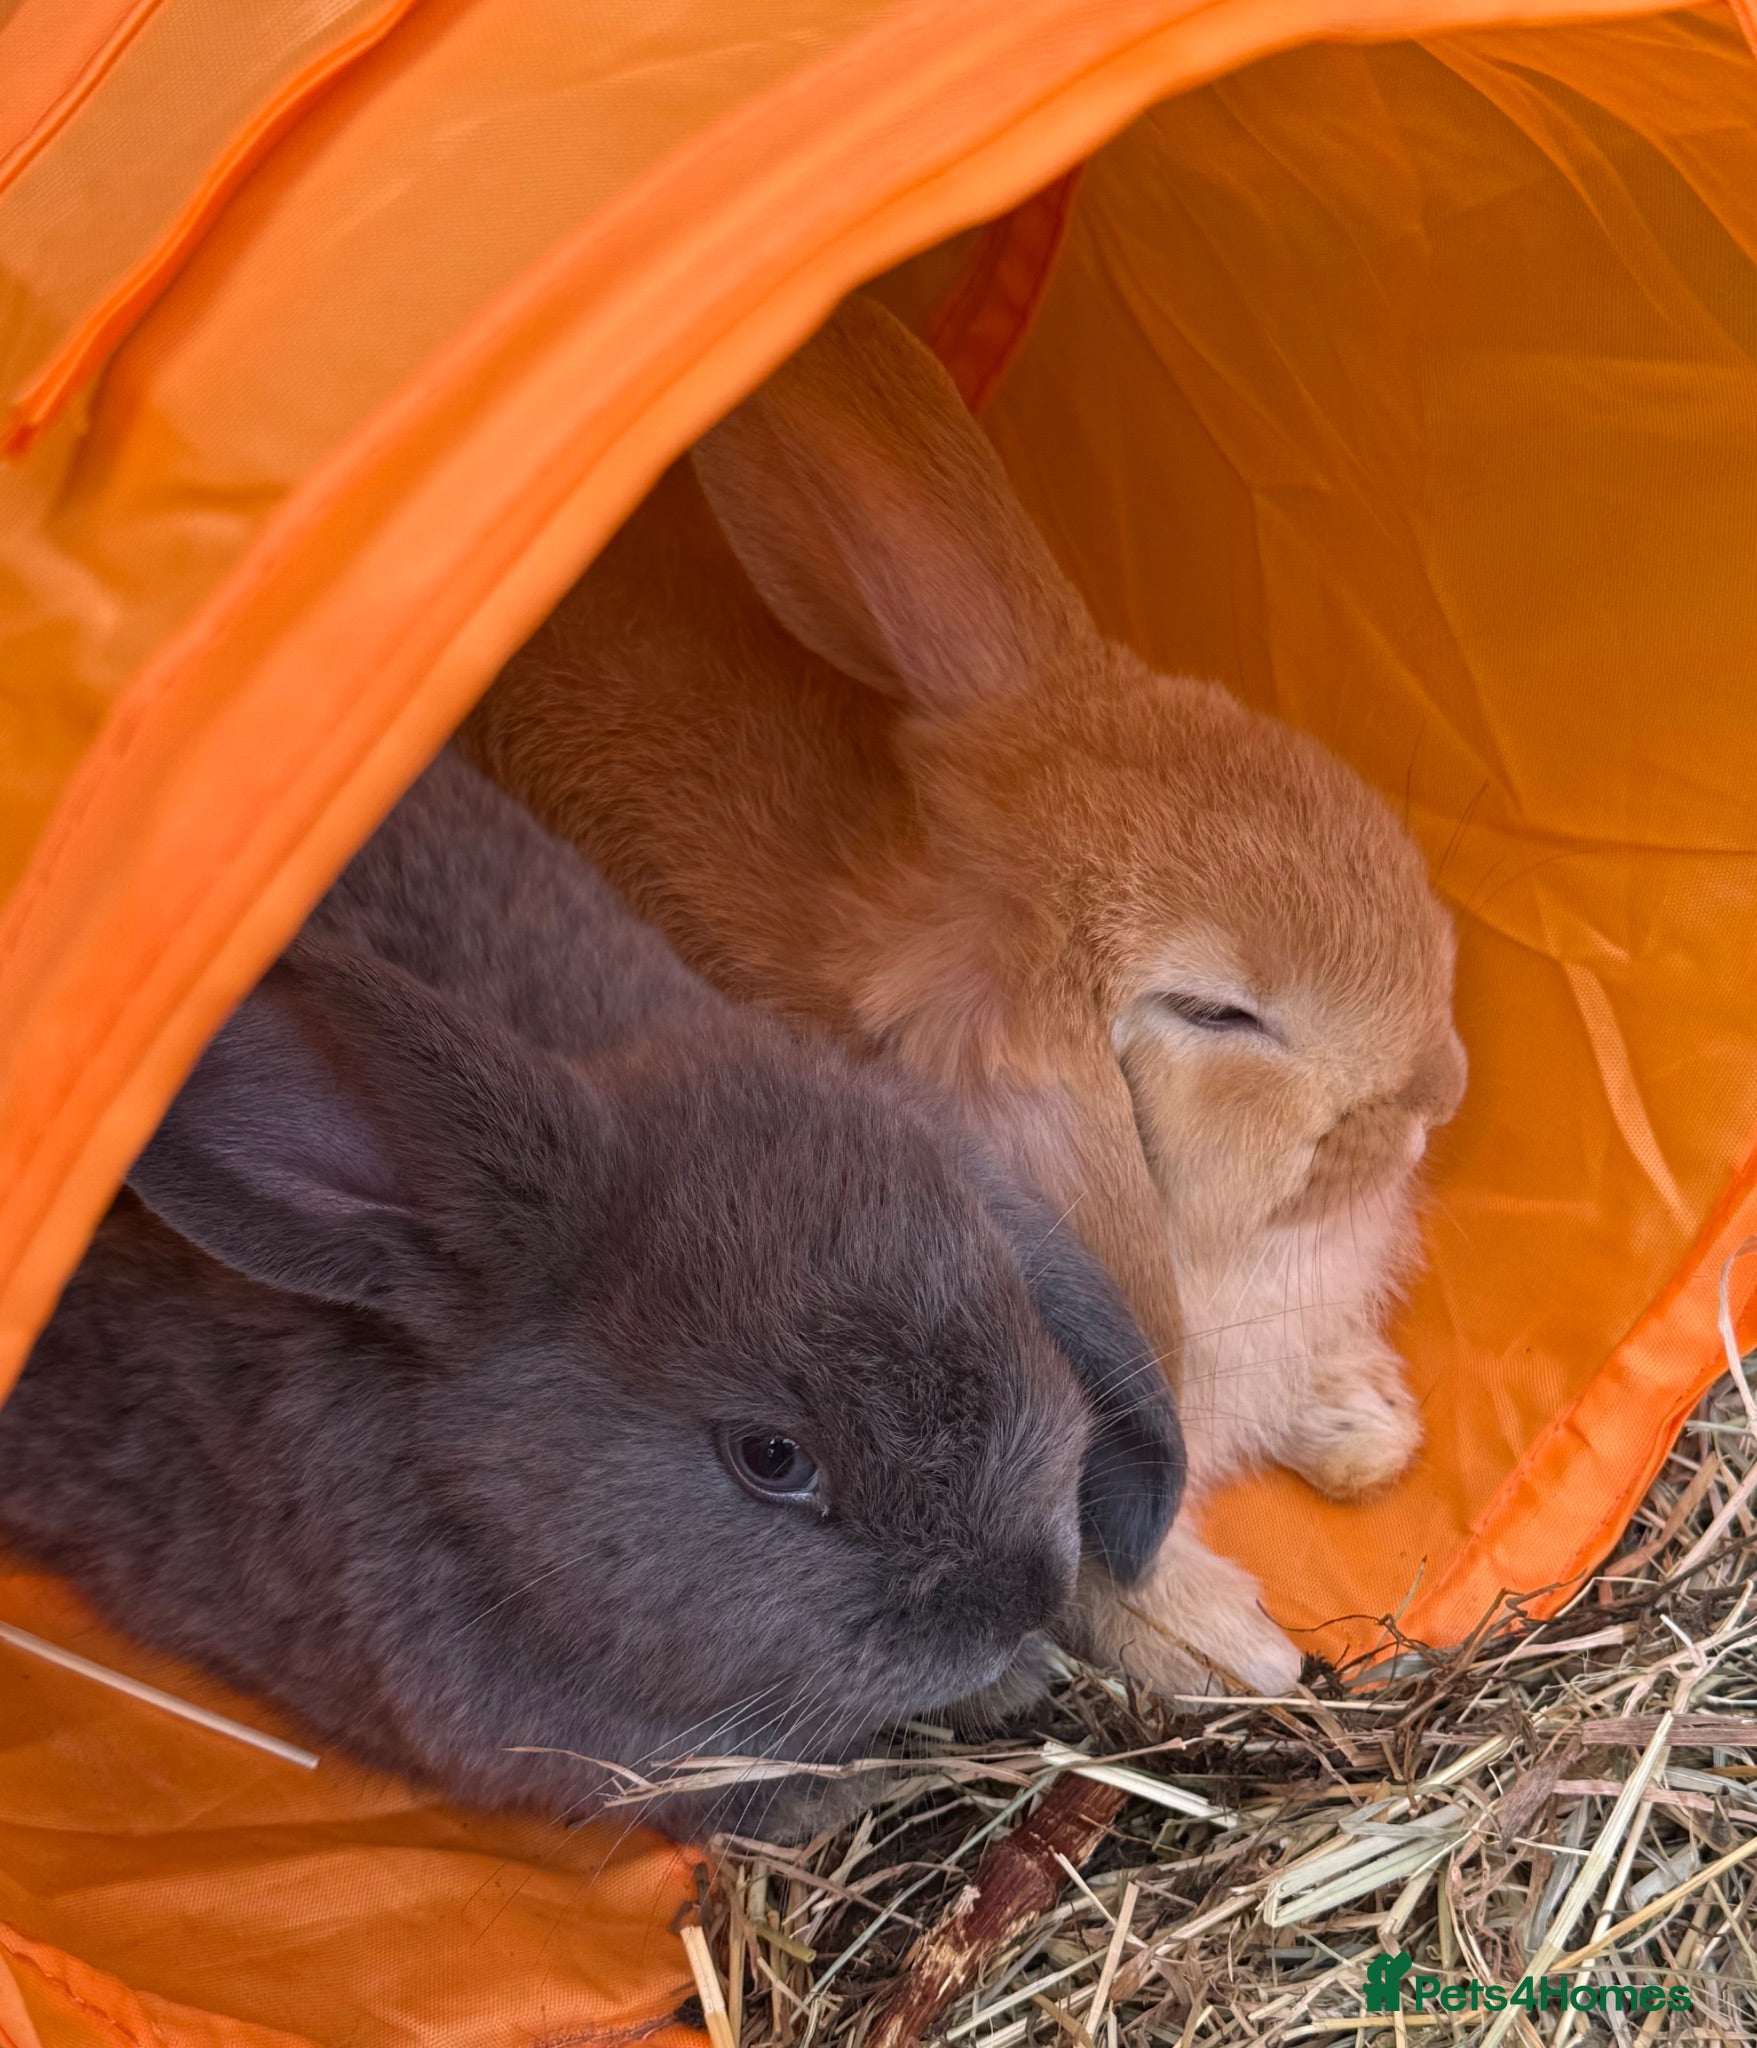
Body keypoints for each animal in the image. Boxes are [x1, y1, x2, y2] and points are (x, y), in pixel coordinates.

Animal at [0, 750, 1183, 1840]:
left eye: (1010, 1304)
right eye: (770, 1457)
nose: (1023, 1597)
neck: (482, 1488)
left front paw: (1021, 1670)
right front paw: (865, 1776)